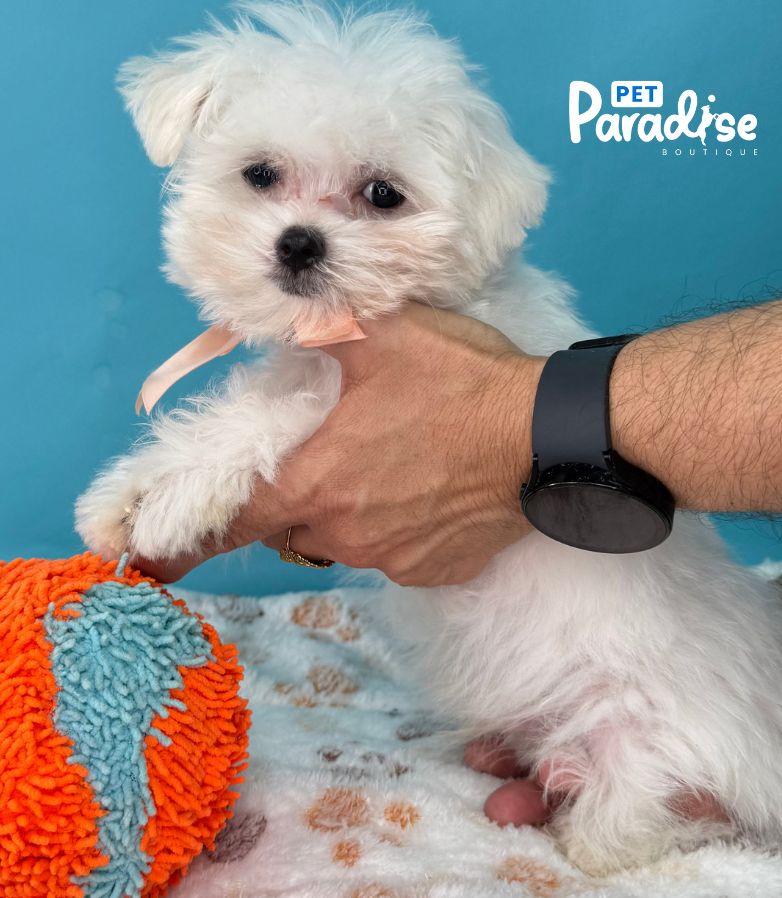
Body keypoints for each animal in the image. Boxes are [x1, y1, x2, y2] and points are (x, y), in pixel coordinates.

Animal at [76, 1, 782, 874]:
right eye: (260, 174)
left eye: (384, 195)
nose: (299, 242)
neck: (349, 336)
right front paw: (127, 491)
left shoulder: (356, 409)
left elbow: (268, 417)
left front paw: (176, 494)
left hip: (653, 740)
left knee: (649, 816)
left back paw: (601, 837)